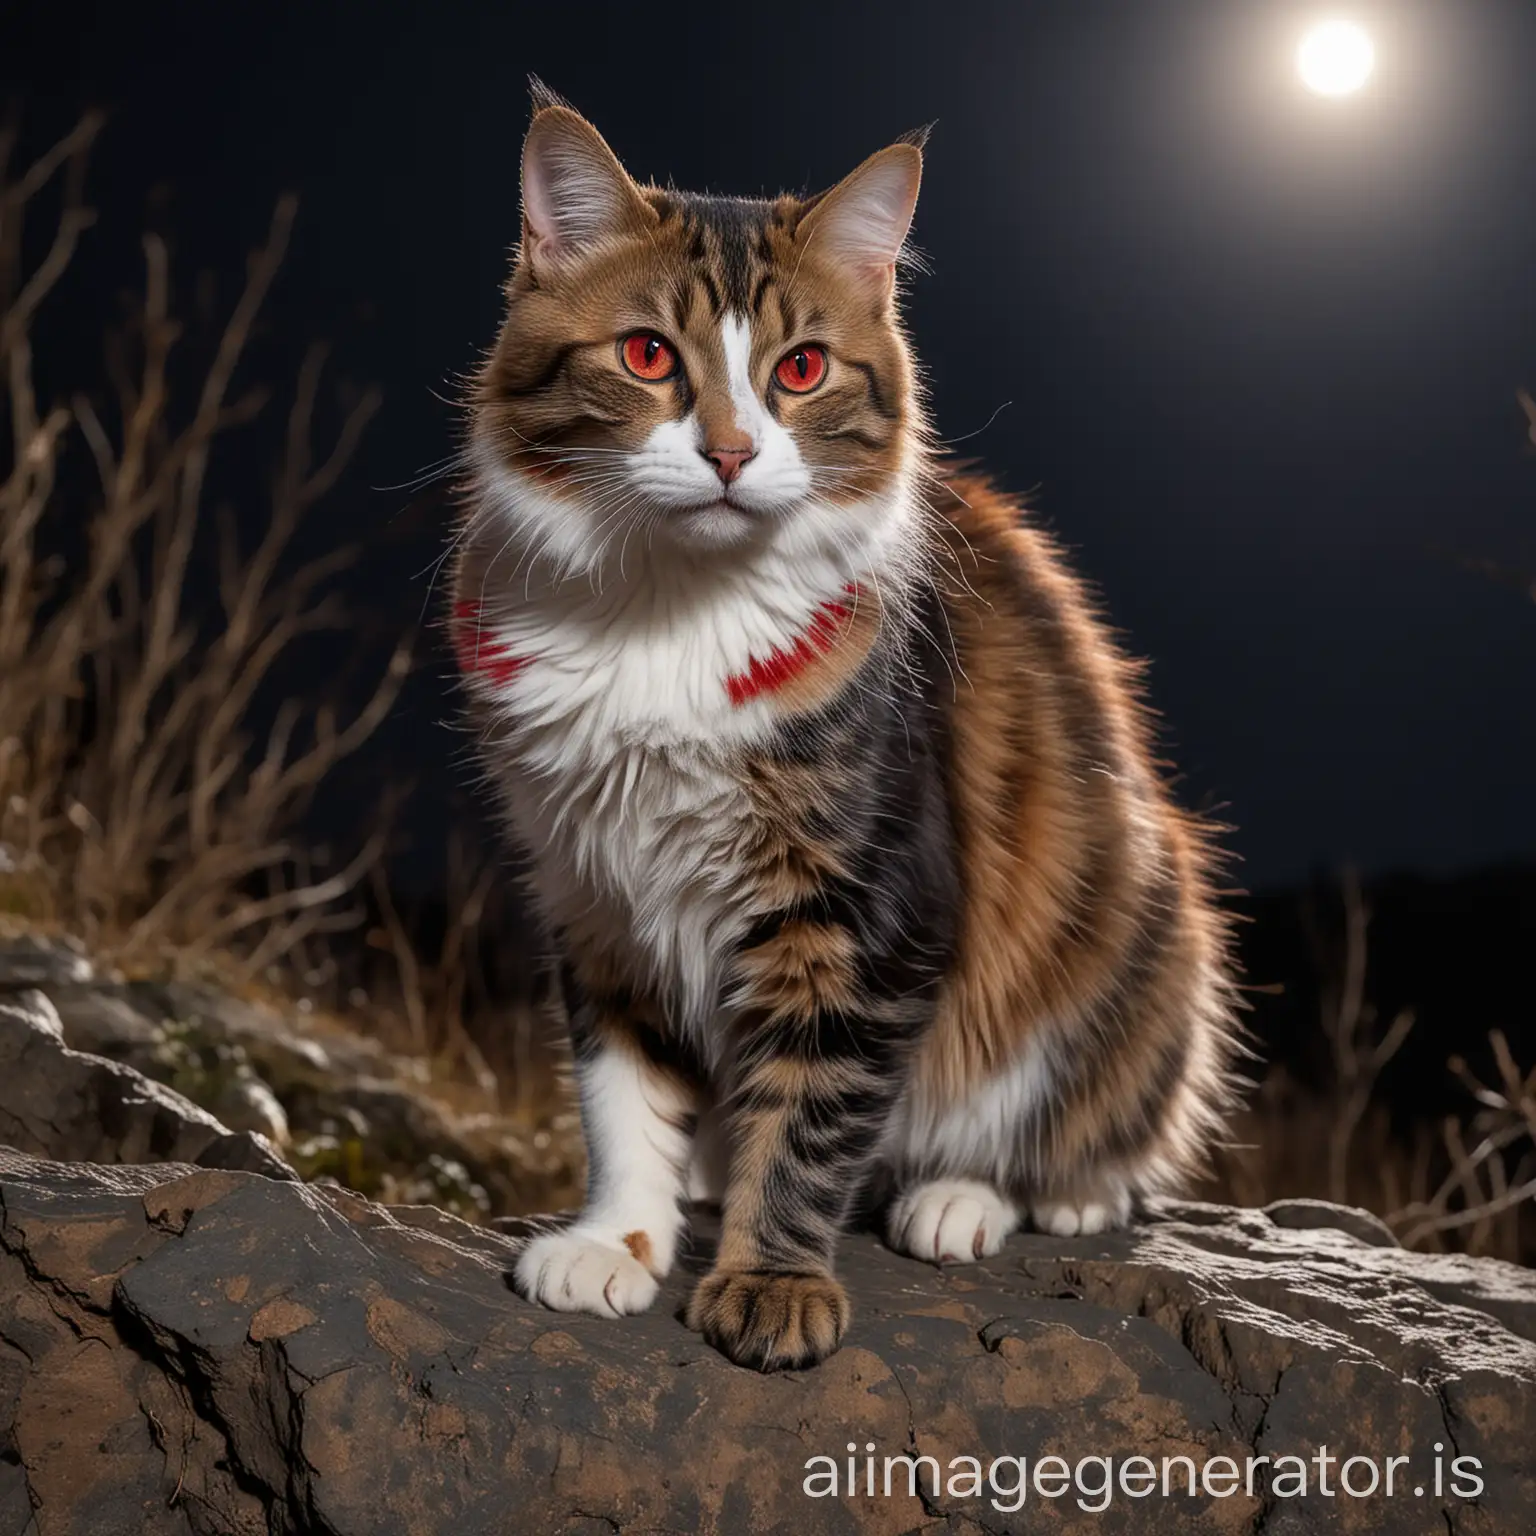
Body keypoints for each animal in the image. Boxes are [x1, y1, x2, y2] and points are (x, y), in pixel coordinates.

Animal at [451, 89, 1234, 1376]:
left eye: (802, 369)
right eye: (647, 356)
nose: (730, 453)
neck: (670, 615)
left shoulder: (867, 908)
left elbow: (812, 1115)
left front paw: (770, 1282)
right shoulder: (596, 891)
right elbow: (620, 1093)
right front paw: (618, 1238)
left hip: (1130, 917)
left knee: (1067, 1140)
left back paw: (972, 1199)